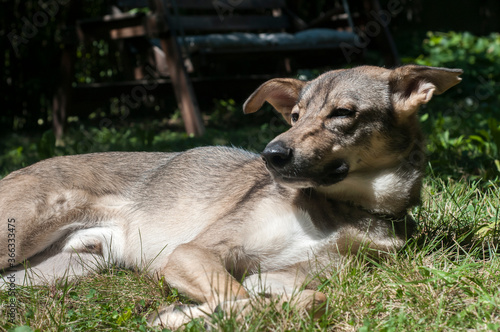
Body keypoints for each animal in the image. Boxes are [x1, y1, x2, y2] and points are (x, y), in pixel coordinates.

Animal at [0, 64, 462, 326]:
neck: (343, 205)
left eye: (343, 113)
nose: (271, 155)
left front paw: (187, 317)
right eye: (295, 116)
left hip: (52, 272)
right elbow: (236, 296)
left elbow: (311, 299)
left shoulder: (284, 277)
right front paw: (185, 317)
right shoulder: (193, 253)